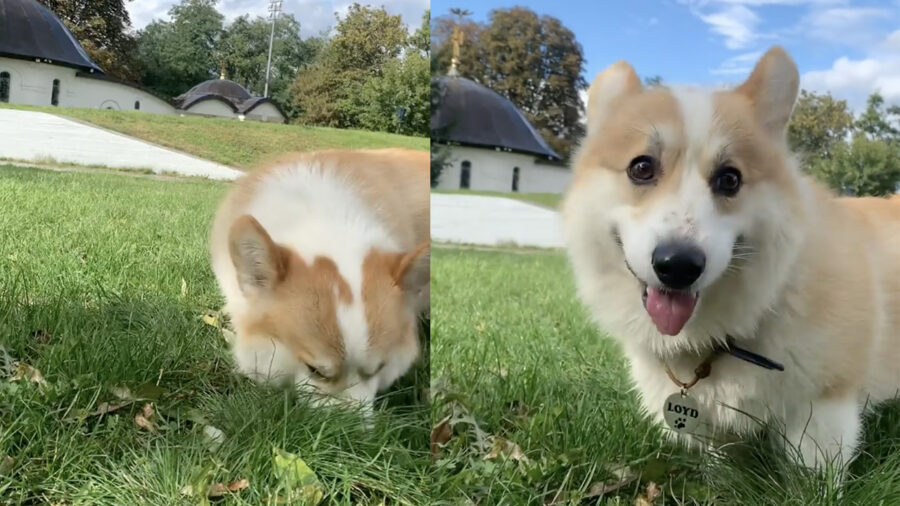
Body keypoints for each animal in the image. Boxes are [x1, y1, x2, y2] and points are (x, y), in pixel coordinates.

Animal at [564, 47, 900, 470]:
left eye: (730, 179)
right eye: (641, 167)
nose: (678, 266)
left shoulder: (825, 408)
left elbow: (811, 470)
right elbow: (720, 463)